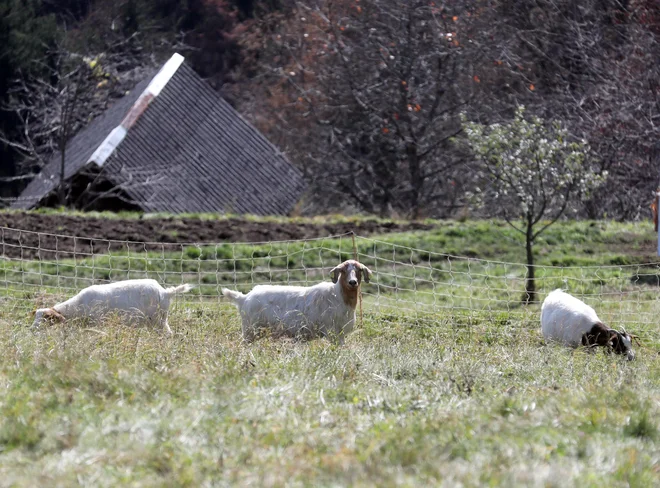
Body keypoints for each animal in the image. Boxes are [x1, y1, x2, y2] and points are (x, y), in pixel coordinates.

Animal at [31, 278, 193, 336]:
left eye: (46, 319)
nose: (32, 330)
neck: (76, 306)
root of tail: (165, 292)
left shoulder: (97, 322)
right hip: (160, 320)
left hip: (157, 321)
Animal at [223, 260, 372, 344]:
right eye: (342, 270)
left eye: (359, 270)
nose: (352, 282)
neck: (339, 295)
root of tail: (244, 298)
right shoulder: (332, 331)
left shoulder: (340, 334)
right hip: (250, 330)